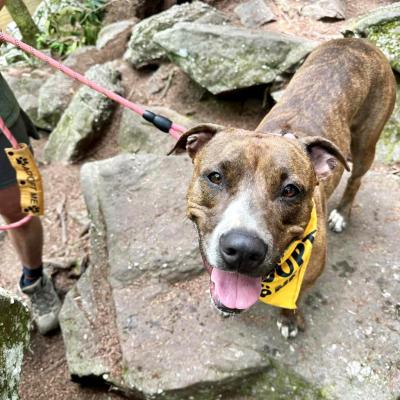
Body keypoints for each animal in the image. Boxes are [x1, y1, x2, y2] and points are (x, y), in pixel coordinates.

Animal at [170, 38, 396, 338]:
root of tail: (357, 40)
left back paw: (342, 214)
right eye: (215, 177)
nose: (243, 250)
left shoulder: (311, 273)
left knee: (356, 178)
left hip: (366, 144)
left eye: (290, 190)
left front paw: (289, 318)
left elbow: (296, 297)